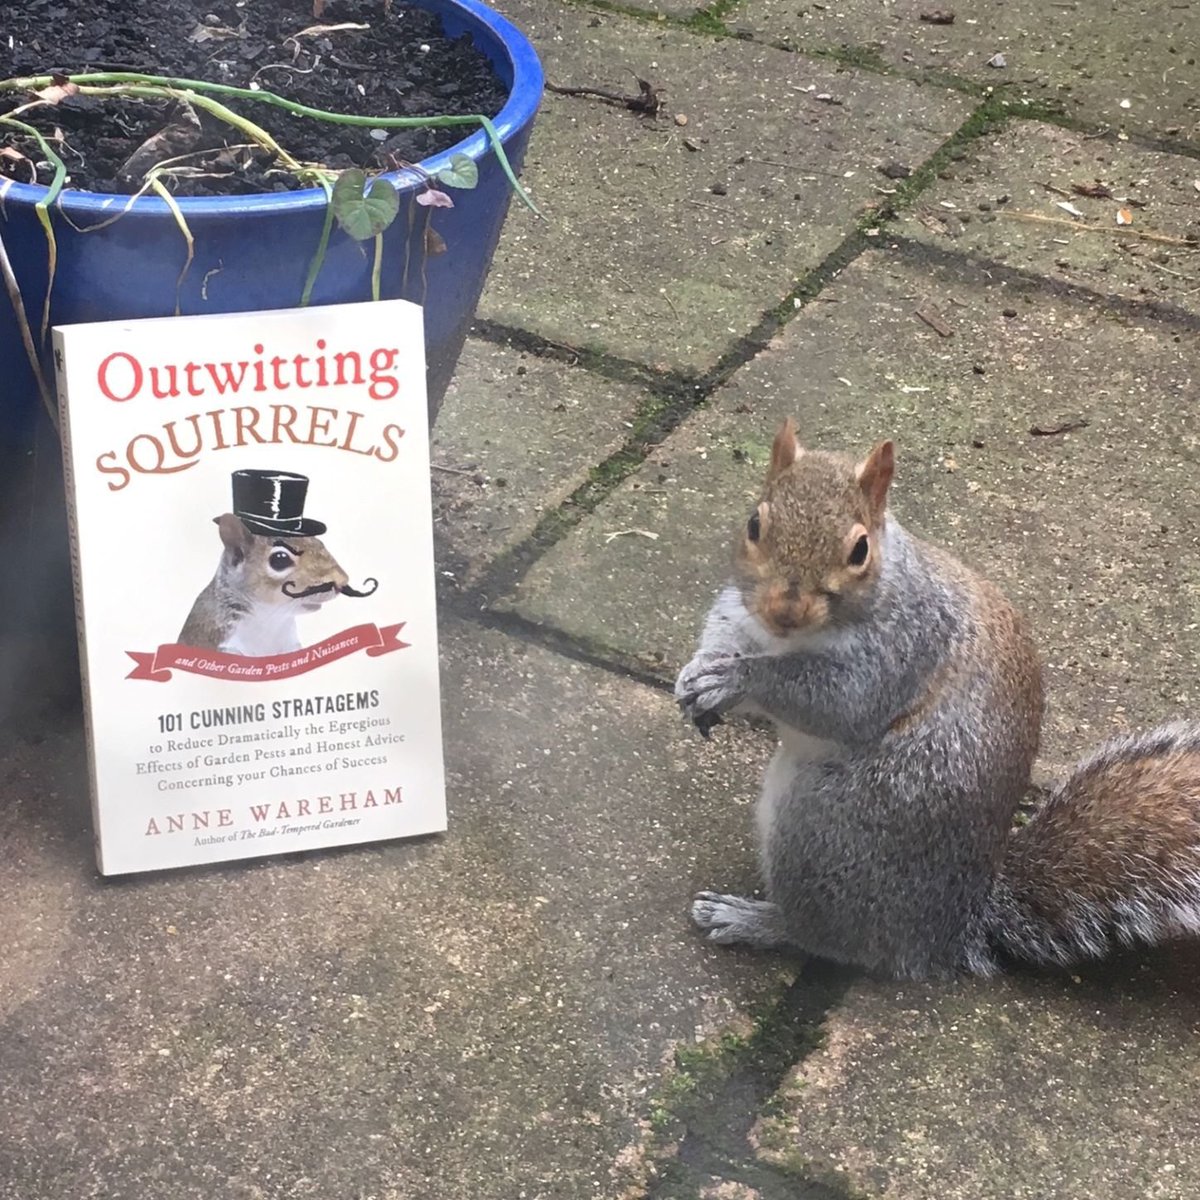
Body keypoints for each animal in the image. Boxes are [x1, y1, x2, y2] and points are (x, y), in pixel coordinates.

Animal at [675, 419, 1200, 980]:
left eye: (859, 550)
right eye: (754, 524)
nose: (785, 611)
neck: (789, 639)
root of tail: (952, 926)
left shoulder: (902, 650)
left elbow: (835, 701)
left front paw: (738, 680)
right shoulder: (741, 611)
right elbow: (722, 633)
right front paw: (696, 678)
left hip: (825, 833)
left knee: (830, 939)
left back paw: (752, 920)